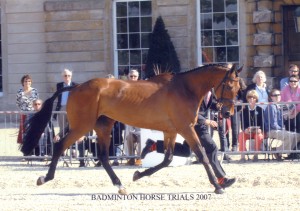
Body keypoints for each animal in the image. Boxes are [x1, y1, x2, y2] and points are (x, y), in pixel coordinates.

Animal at [20, 63, 241, 195]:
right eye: (230, 85)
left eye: (239, 87)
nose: (227, 113)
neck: (185, 88)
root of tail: (75, 87)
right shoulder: (186, 128)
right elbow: (202, 155)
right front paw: (218, 186)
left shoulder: (171, 131)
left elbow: (167, 159)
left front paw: (138, 174)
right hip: (82, 127)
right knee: (60, 146)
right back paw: (45, 178)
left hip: (103, 126)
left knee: (103, 156)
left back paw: (120, 185)